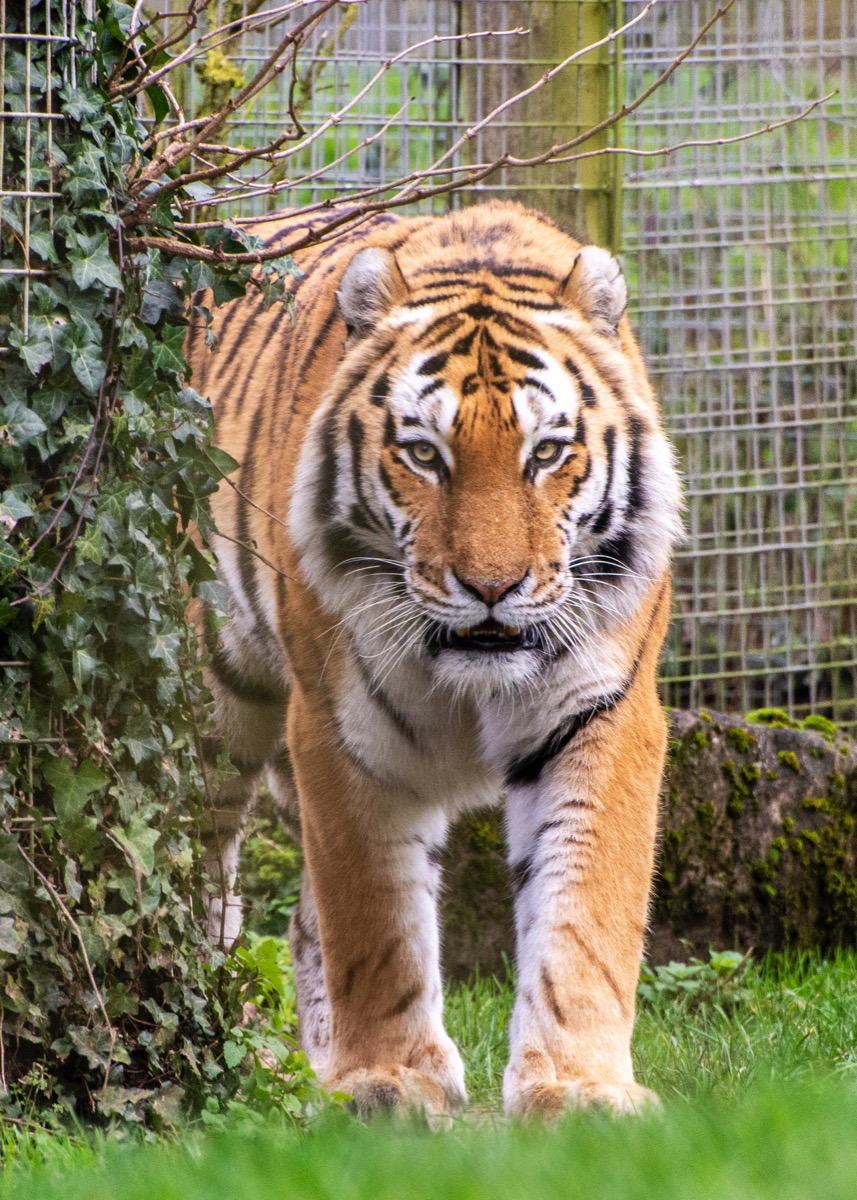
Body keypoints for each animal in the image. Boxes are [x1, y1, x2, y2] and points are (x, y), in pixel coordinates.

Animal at [184, 201, 681, 1118]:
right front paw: (390, 1080)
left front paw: (579, 1086)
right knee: (189, 870)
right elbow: (374, 920)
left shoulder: (602, 712)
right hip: (206, 705)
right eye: (423, 454)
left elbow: (586, 908)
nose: (491, 587)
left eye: (546, 453)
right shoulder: (341, 727)